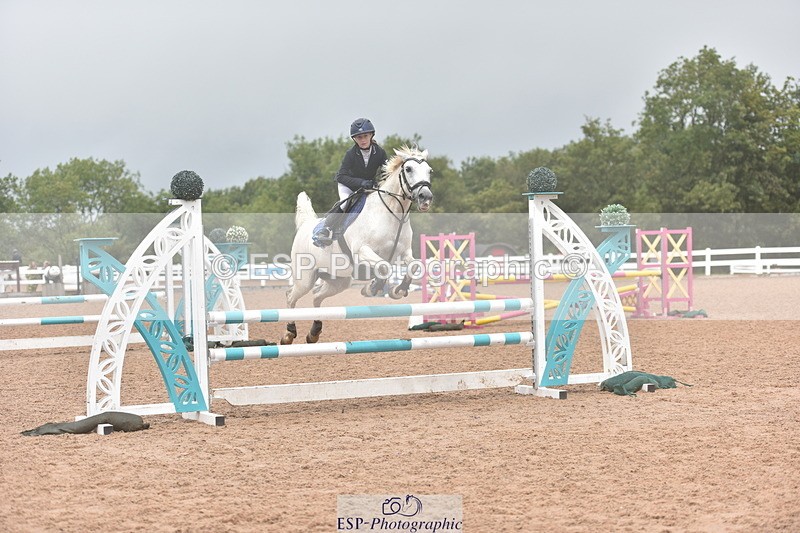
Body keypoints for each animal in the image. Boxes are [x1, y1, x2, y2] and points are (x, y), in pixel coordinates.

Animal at [281, 145, 433, 345]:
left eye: (430, 171)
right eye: (408, 169)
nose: (426, 197)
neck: (391, 213)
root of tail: (306, 225)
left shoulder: (404, 252)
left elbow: (414, 265)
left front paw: (398, 290)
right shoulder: (362, 252)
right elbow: (384, 267)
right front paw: (372, 288)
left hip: (339, 281)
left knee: (317, 296)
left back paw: (314, 332)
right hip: (305, 278)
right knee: (291, 297)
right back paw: (289, 333)